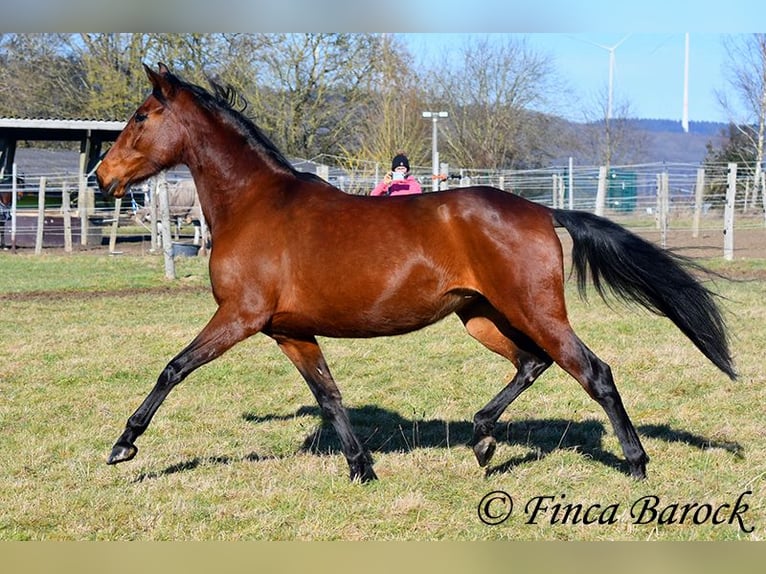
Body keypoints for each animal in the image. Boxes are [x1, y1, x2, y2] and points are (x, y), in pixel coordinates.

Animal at [96, 64, 736, 486]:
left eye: (141, 117)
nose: (104, 177)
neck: (256, 204)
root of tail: (540, 210)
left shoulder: (240, 315)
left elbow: (174, 367)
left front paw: (123, 446)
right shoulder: (290, 331)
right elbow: (329, 396)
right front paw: (362, 469)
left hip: (533, 309)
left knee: (592, 371)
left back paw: (635, 463)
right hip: (481, 316)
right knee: (533, 362)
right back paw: (482, 439)